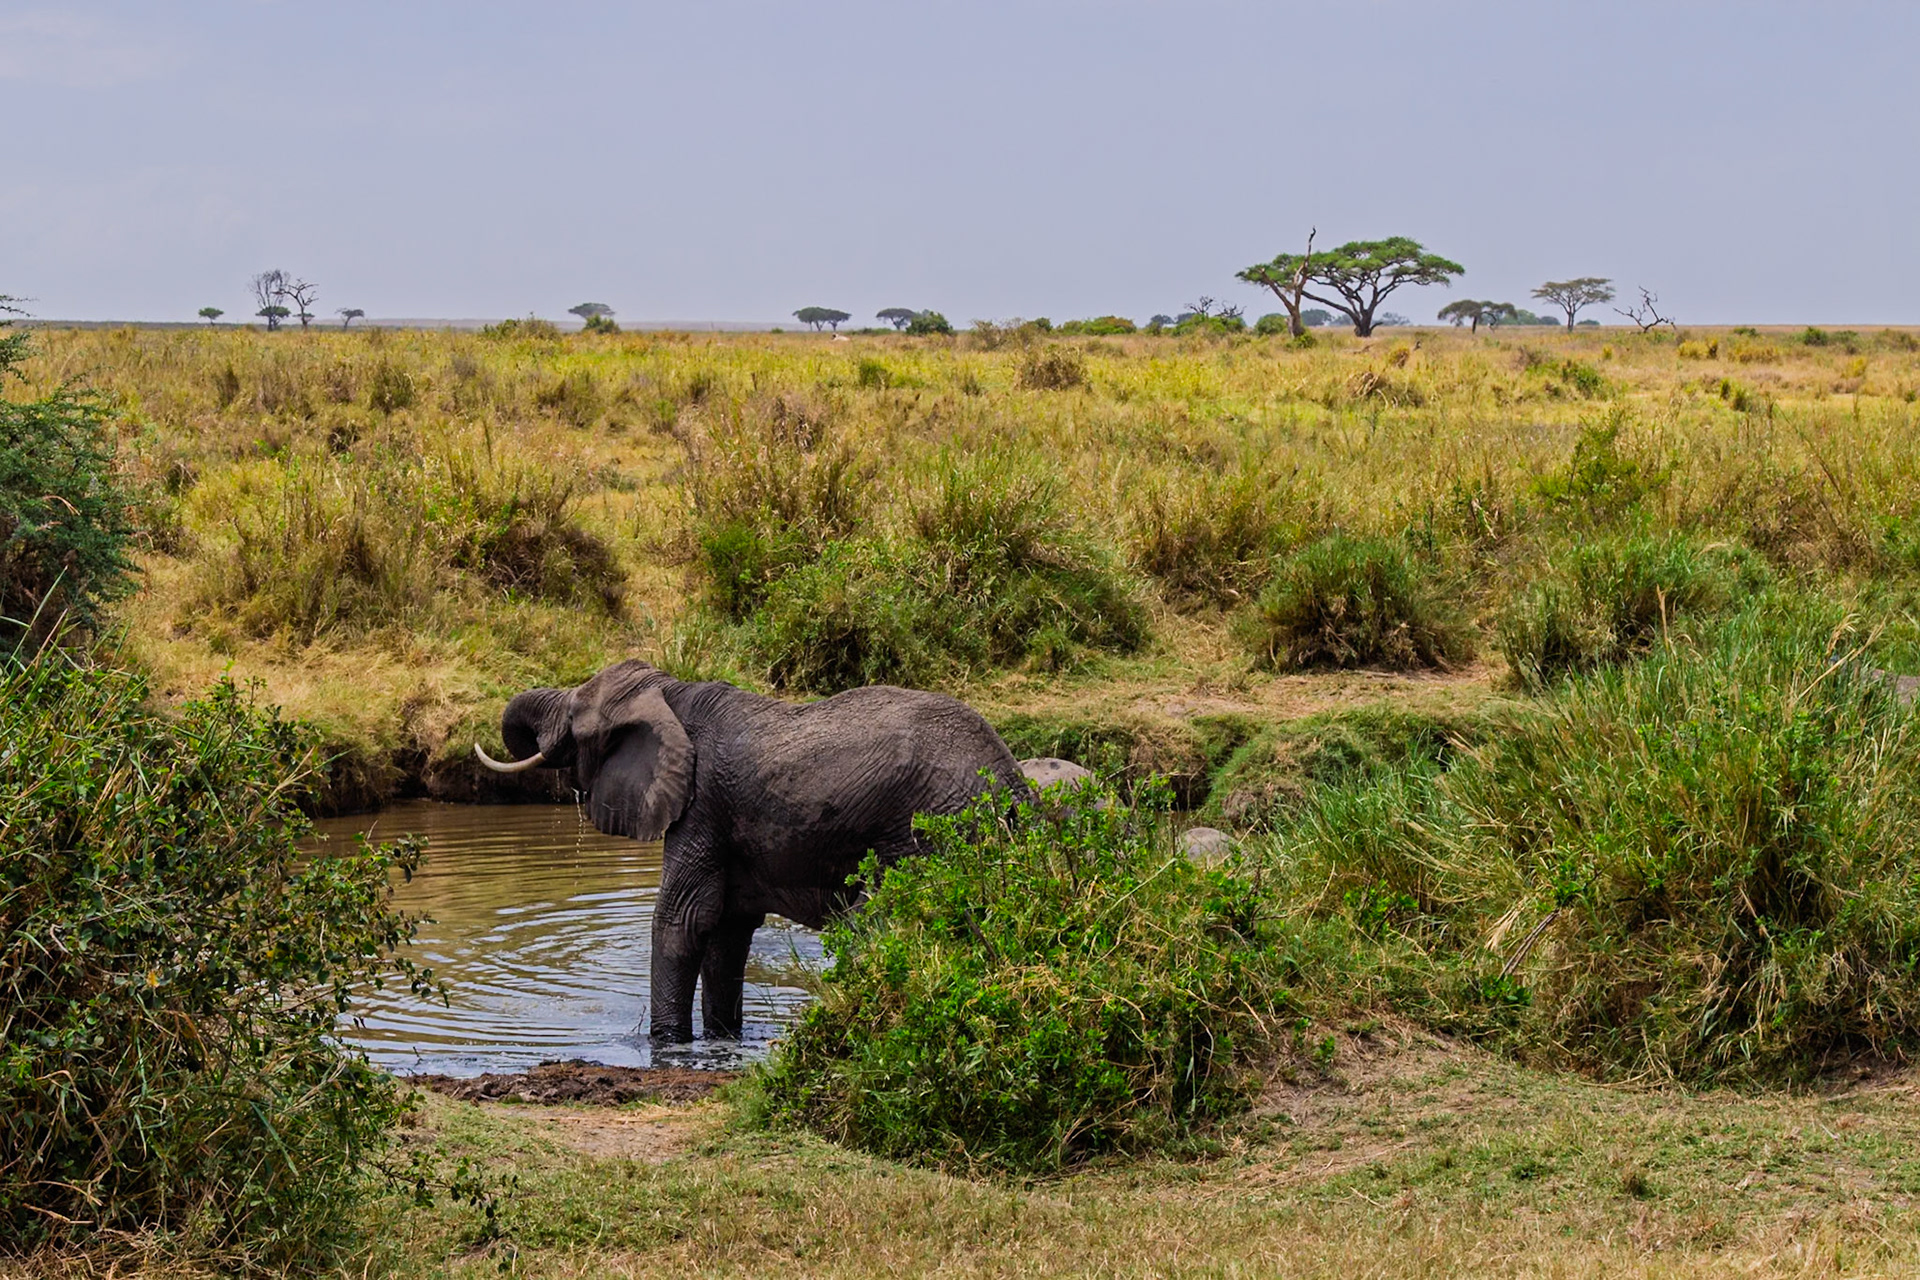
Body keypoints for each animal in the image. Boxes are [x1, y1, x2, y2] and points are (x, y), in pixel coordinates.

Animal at [475, 659, 1030, 1042]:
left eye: (574, 719)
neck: (670, 692)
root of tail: (1013, 784)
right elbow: (726, 931)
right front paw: (723, 1038)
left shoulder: (700, 804)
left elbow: (682, 919)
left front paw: (668, 1042)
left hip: (930, 829)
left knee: (869, 924)